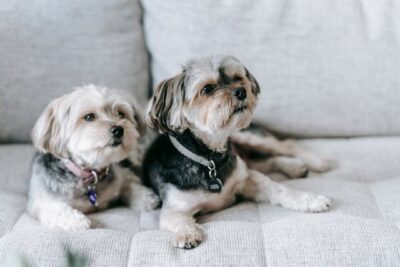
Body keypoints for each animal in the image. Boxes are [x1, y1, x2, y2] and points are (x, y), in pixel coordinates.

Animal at [27, 85, 159, 230]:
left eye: (121, 114)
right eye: (89, 117)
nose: (118, 130)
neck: (89, 174)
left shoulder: (120, 175)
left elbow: (128, 182)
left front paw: (145, 197)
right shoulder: (40, 202)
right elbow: (57, 209)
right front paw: (77, 221)